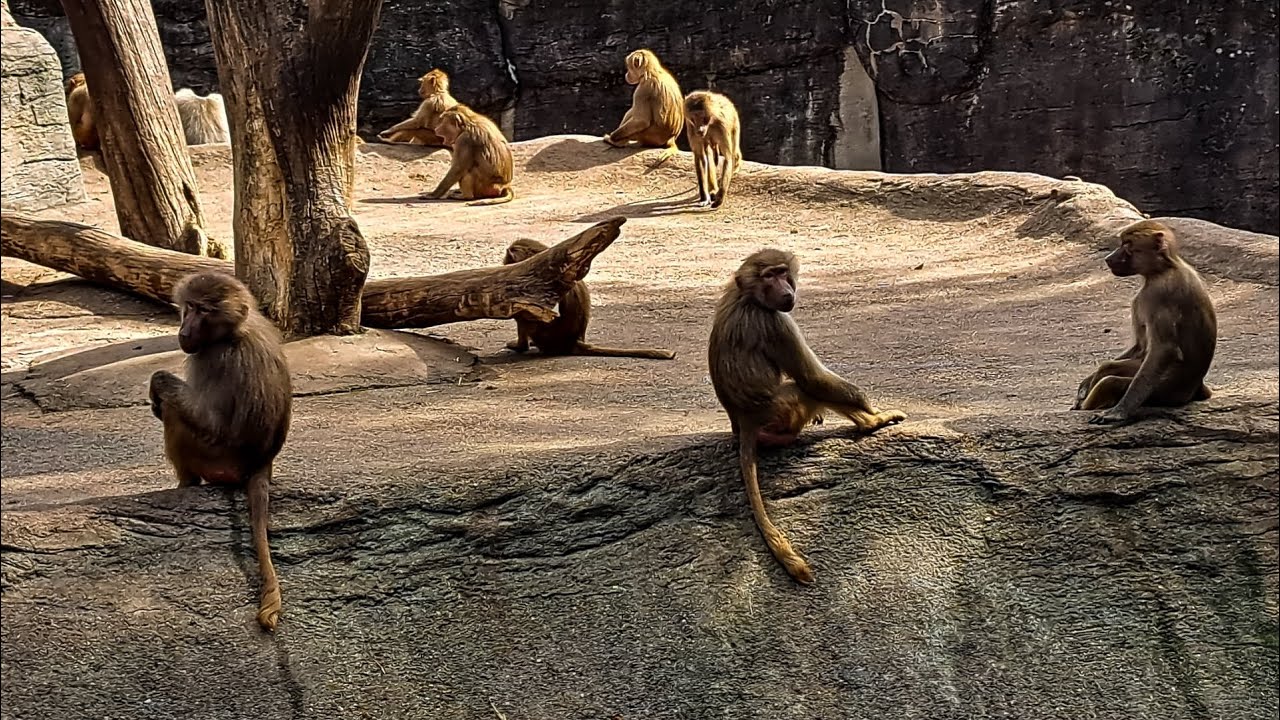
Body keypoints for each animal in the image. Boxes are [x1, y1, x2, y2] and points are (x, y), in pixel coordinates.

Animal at [148, 271, 292, 631]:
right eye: (189, 307)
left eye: (204, 311)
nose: (184, 332)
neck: (235, 330)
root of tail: (260, 465)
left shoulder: (215, 358)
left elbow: (209, 420)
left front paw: (158, 385)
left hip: (213, 460)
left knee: (176, 413)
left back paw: (184, 484)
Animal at [708, 249, 906, 584]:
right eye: (769, 276)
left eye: (782, 272)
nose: (786, 292)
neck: (748, 296)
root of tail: (745, 420)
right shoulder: (776, 323)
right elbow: (812, 378)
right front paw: (873, 411)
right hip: (785, 408)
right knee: (806, 388)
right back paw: (870, 424)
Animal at [1073, 220, 1217, 424]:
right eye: (1122, 243)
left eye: (1128, 245)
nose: (1108, 258)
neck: (1165, 268)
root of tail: (1194, 389)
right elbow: (1141, 346)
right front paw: (1086, 385)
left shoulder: (1157, 294)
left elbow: (1164, 350)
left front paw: (1118, 412)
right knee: (1110, 367)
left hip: (1165, 391)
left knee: (1110, 382)